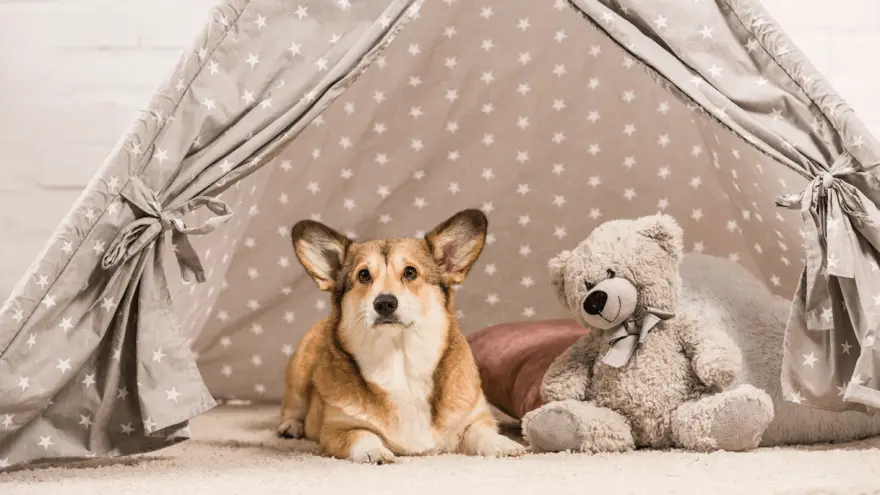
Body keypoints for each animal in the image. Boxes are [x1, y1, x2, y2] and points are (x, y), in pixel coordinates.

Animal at [276, 207, 524, 464]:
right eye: (363, 275)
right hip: (298, 373)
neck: (400, 361)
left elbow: (481, 432)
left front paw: (503, 443)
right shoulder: (337, 430)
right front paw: (374, 451)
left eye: (410, 272)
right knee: (292, 407)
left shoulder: (475, 418)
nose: (384, 303)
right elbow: (362, 435)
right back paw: (291, 427)